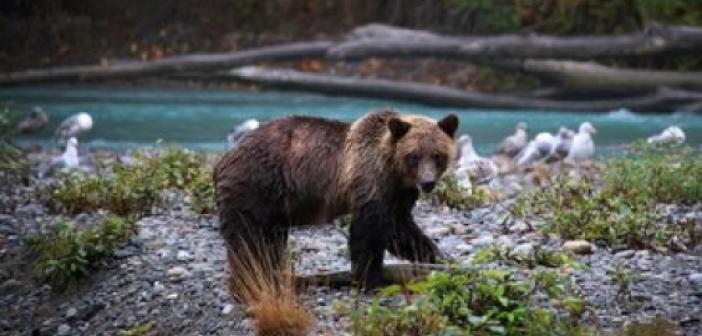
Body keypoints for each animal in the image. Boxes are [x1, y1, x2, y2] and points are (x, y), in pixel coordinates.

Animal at [214, 109, 462, 288]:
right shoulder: (369, 180)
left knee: (270, 240)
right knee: (248, 239)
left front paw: (437, 256)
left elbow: (400, 228)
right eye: (414, 156)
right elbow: (369, 229)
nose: (428, 182)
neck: (393, 170)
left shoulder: (399, 194)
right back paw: (251, 280)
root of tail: (225, 158)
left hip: (273, 204)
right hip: (254, 186)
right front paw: (369, 278)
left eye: (437, 155)